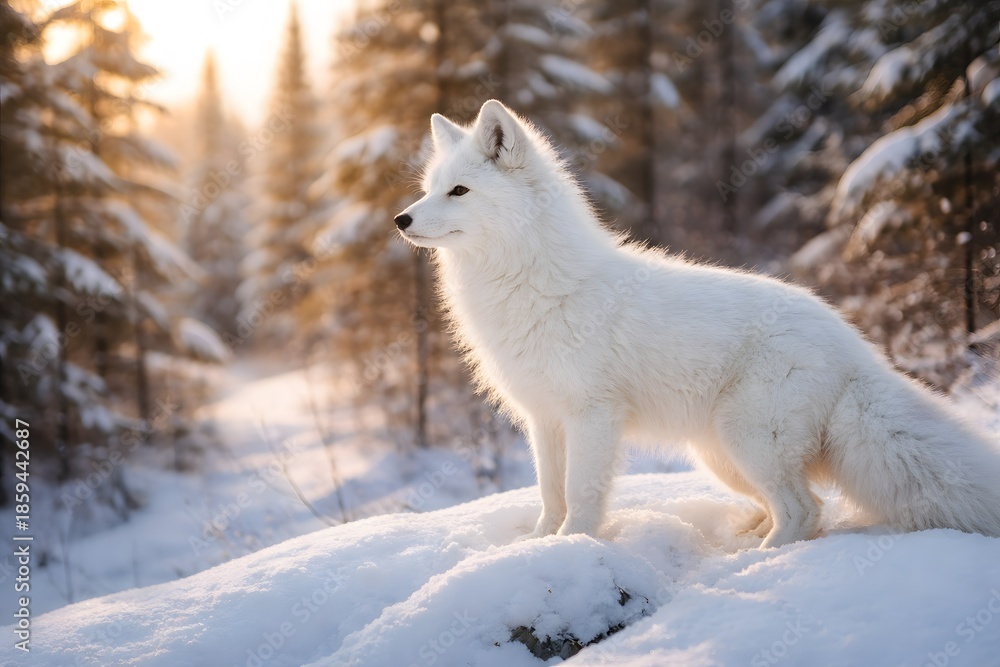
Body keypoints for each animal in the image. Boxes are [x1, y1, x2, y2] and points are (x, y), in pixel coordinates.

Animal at [393, 99, 1000, 548]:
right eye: (428, 188)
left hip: (748, 439)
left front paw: (573, 546)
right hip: (722, 456)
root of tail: (856, 347)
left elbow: (582, 495)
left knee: (806, 511)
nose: (400, 219)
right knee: (798, 506)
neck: (532, 281)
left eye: (459, 191)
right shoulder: (544, 419)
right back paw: (745, 534)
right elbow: (550, 493)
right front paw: (538, 545)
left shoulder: (592, 415)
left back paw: (759, 560)